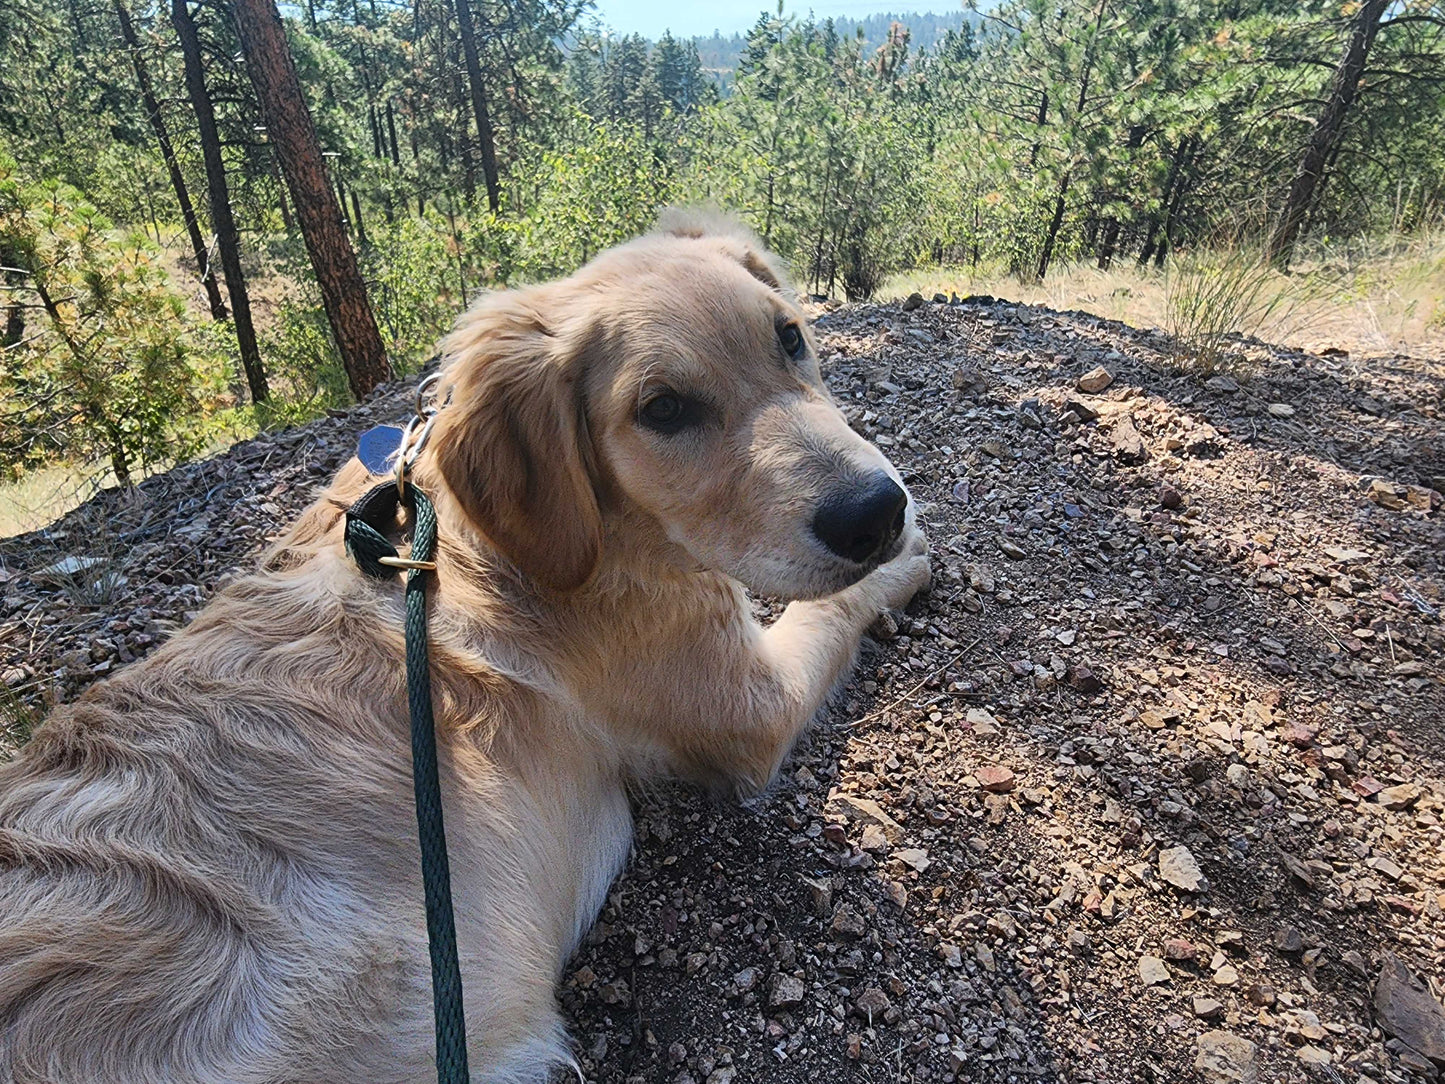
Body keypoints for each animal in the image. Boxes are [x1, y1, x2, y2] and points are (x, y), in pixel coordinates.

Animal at [0, 213, 924, 1084]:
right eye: (662, 410)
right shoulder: (751, 707)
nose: (876, 512)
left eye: (790, 337)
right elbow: (831, 609)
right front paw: (908, 554)